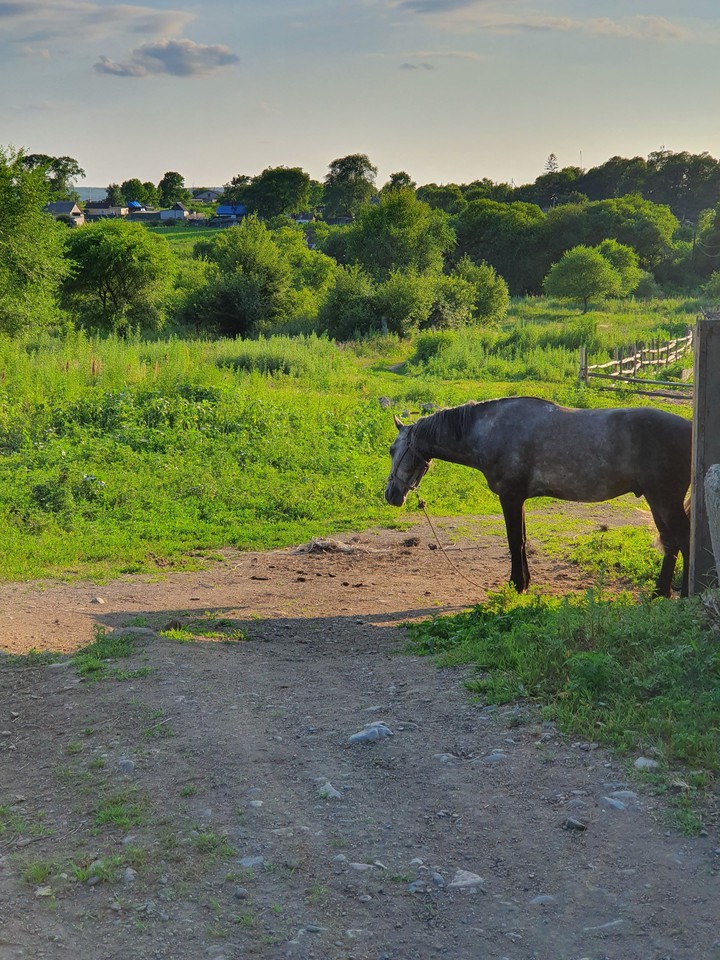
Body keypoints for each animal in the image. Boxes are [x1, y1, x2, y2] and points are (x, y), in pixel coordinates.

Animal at [385, 397, 692, 597]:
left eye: (392, 449)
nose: (391, 494)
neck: (491, 431)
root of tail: (691, 429)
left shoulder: (510, 497)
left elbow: (514, 541)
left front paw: (516, 585)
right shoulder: (518, 499)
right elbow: (521, 540)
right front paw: (525, 582)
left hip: (665, 499)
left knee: (683, 539)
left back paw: (686, 592)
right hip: (656, 500)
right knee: (671, 542)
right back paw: (660, 591)